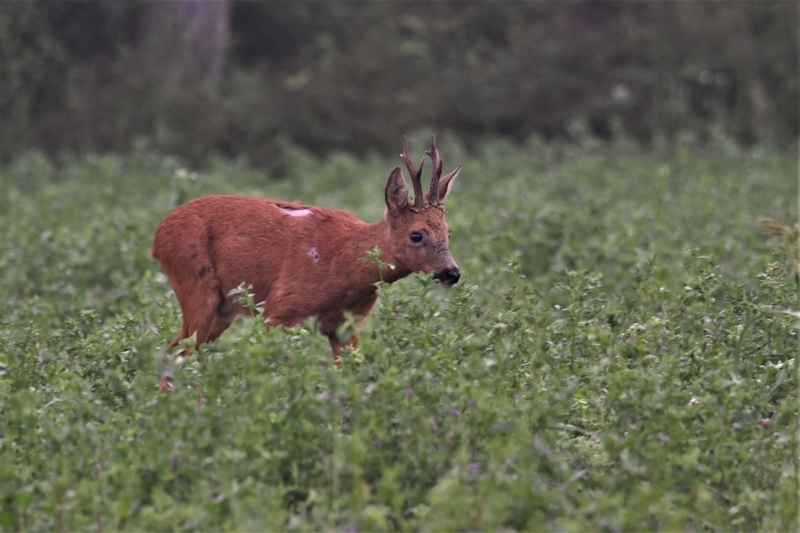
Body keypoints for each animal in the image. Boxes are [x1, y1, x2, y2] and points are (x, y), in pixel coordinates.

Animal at [152, 135, 462, 382]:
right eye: (416, 234)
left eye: (448, 231)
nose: (452, 272)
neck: (343, 265)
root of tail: (158, 236)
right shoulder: (278, 310)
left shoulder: (345, 325)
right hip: (196, 286)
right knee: (178, 354)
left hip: (223, 308)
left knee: (180, 354)